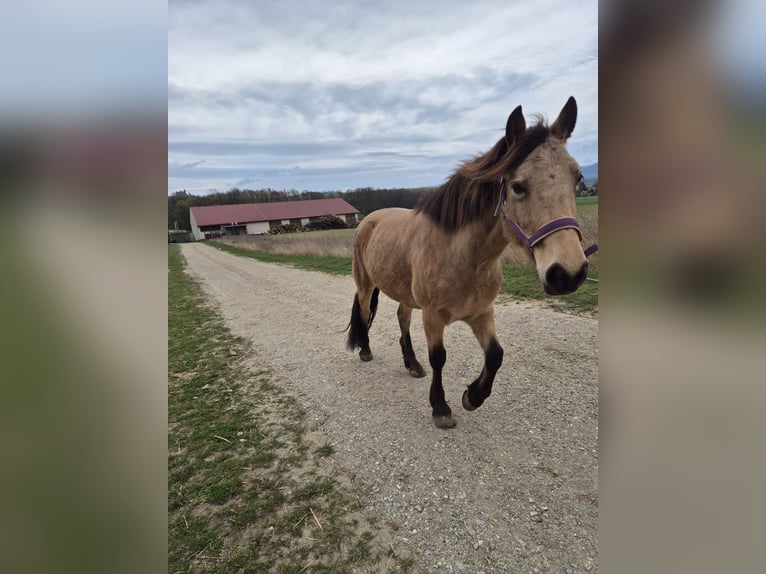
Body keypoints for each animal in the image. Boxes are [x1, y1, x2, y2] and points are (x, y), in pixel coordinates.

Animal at [346, 97, 596, 429]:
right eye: (517, 186)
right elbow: (439, 358)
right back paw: (365, 351)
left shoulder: (482, 313)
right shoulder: (433, 317)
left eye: (578, 178)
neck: (465, 259)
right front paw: (441, 408)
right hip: (365, 285)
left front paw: (473, 397)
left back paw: (412, 364)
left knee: (402, 318)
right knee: (364, 314)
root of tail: (367, 221)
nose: (567, 273)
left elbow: (495, 355)